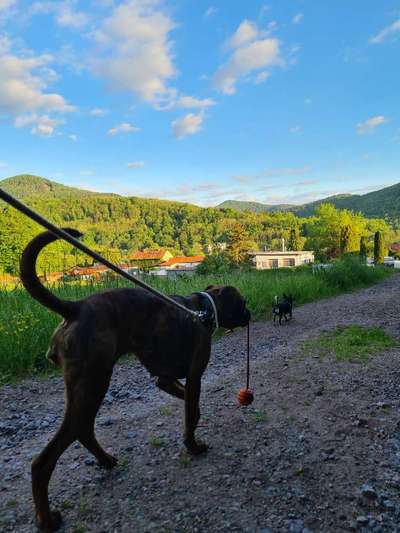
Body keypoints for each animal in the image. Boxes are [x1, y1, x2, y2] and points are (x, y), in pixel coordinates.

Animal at [20, 230, 250, 532]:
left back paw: (106, 460)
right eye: (243, 303)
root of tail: (74, 308)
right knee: (46, 458)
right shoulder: (194, 375)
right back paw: (46, 519)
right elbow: (190, 411)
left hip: (88, 388)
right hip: (92, 384)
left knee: (83, 430)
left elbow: (190, 404)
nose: (249, 314)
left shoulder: (165, 380)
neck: (203, 310)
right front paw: (193, 446)